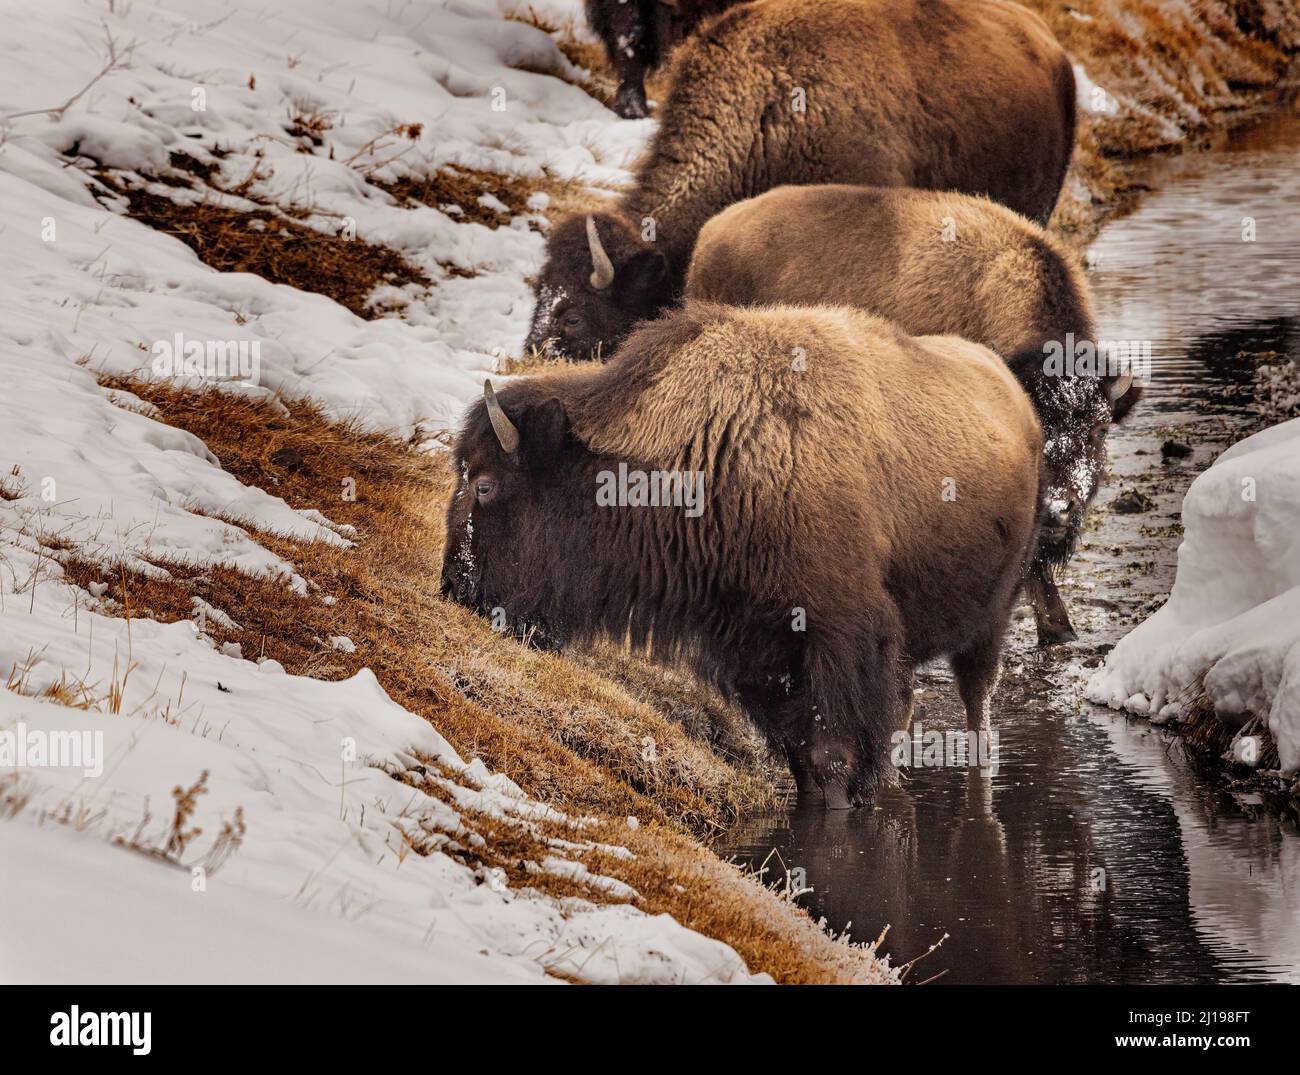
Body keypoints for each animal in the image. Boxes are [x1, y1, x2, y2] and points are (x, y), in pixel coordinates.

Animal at [441, 302, 1040, 805]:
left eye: (485, 486)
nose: (456, 591)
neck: (709, 448)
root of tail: (1015, 397)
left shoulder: (841, 636)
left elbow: (835, 758)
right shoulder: (757, 651)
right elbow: (804, 757)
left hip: (990, 622)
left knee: (977, 702)